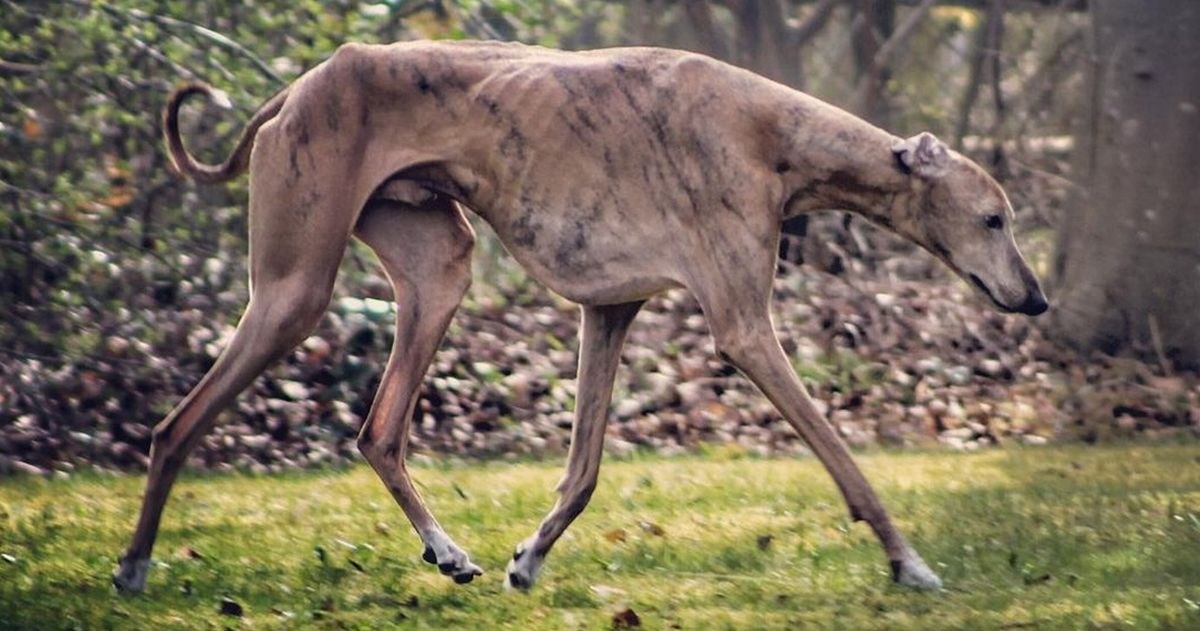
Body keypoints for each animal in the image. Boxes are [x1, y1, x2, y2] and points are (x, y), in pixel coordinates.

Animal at [114, 38, 1051, 595]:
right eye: (994, 218)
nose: (1037, 298)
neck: (770, 132)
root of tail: (290, 94)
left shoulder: (610, 311)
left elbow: (586, 468)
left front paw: (529, 558)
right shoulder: (745, 330)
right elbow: (843, 455)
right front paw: (908, 559)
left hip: (437, 268)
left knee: (378, 431)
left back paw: (446, 549)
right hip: (295, 288)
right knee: (175, 426)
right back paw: (133, 565)